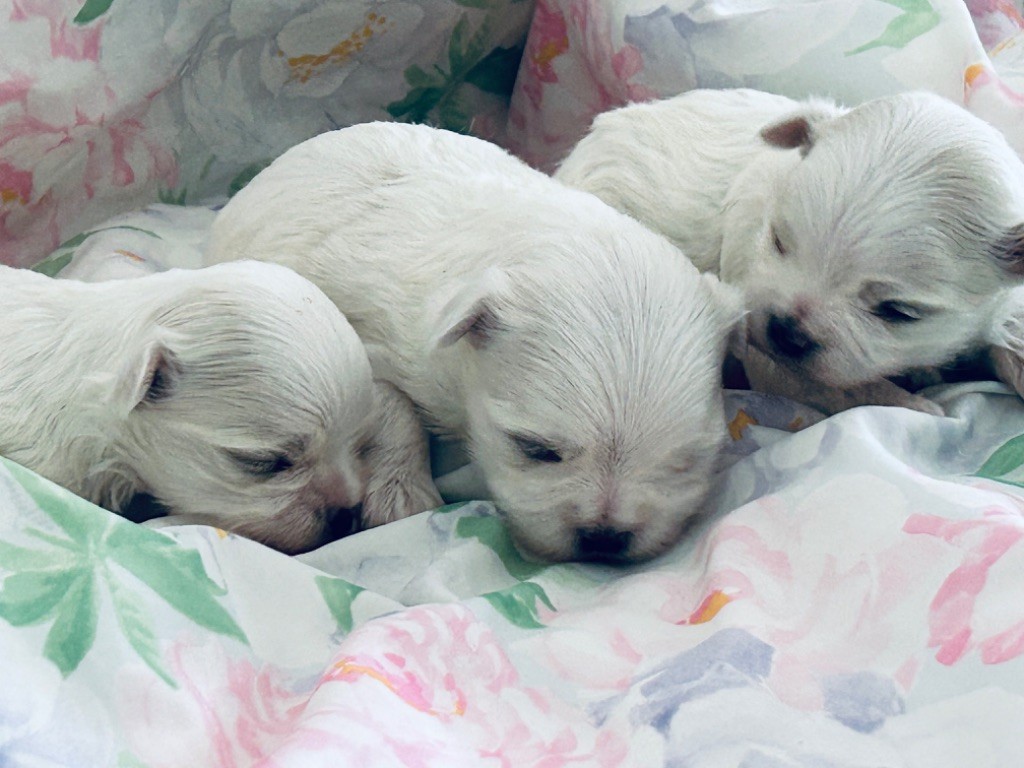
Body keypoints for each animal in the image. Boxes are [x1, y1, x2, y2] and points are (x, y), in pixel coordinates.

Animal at [203, 121, 745, 565]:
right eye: (535, 450)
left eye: (685, 460)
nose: (605, 537)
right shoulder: (364, 340)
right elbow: (395, 408)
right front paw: (403, 494)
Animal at [557, 90, 1024, 417]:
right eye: (779, 240)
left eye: (898, 312)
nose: (784, 330)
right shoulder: (768, 356)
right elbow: (842, 388)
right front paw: (914, 405)